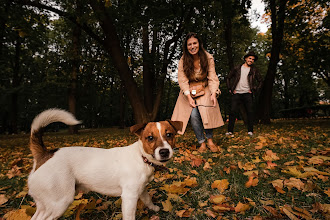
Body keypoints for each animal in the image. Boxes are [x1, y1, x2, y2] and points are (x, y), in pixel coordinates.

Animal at [27, 109, 183, 219]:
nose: (164, 152)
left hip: (46, 203)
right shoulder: (129, 197)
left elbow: (147, 199)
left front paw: (154, 208)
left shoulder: (141, 189)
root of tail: (44, 154)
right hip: (60, 202)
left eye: (169, 135)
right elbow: (129, 216)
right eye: (150, 138)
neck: (141, 157)